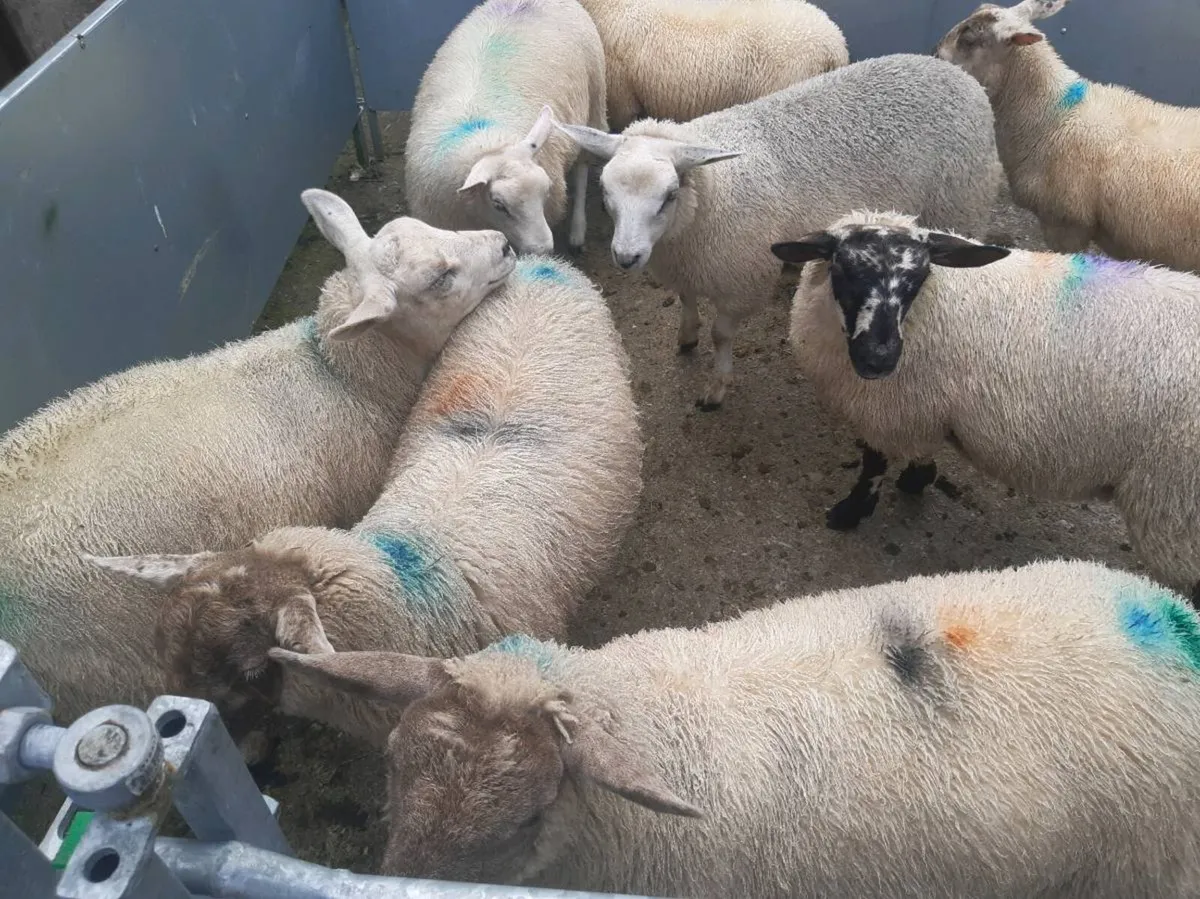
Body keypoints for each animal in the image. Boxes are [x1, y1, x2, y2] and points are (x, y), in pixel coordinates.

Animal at [404, 0, 607, 255]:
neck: (488, 142)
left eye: (546, 190)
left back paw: (577, 231)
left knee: (582, 168)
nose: (542, 249)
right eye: (499, 204)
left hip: (593, 102)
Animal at [558, 53, 1002, 409]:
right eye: (604, 191)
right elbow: (686, 301)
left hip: (962, 203)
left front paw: (717, 386)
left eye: (669, 195)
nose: (626, 257)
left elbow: (721, 335)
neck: (712, 195)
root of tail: (954, 72)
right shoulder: (689, 266)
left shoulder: (740, 281)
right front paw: (686, 335)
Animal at [772, 208, 1200, 602]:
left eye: (918, 280)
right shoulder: (923, 409)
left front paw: (852, 511)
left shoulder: (891, 412)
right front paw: (918, 476)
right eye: (842, 270)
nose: (879, 359)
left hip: (1173, 507)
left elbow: (872, 464)